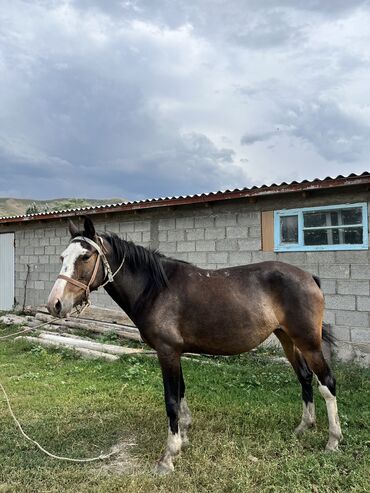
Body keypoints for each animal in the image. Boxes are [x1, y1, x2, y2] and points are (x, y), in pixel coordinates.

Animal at [47, 216, 342, 472]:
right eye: (61, 258)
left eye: (85, 257)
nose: (55, 304)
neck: (156, 289)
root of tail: (309, 277)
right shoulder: (176, 352)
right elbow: (181, 392)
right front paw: (184, 436)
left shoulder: (166, 352)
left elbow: (171, 400)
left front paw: (168, 456)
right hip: (287, 339)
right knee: (304, 377)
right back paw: (304, 426)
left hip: (308, 342)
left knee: (327, 383)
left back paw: (333, 440)